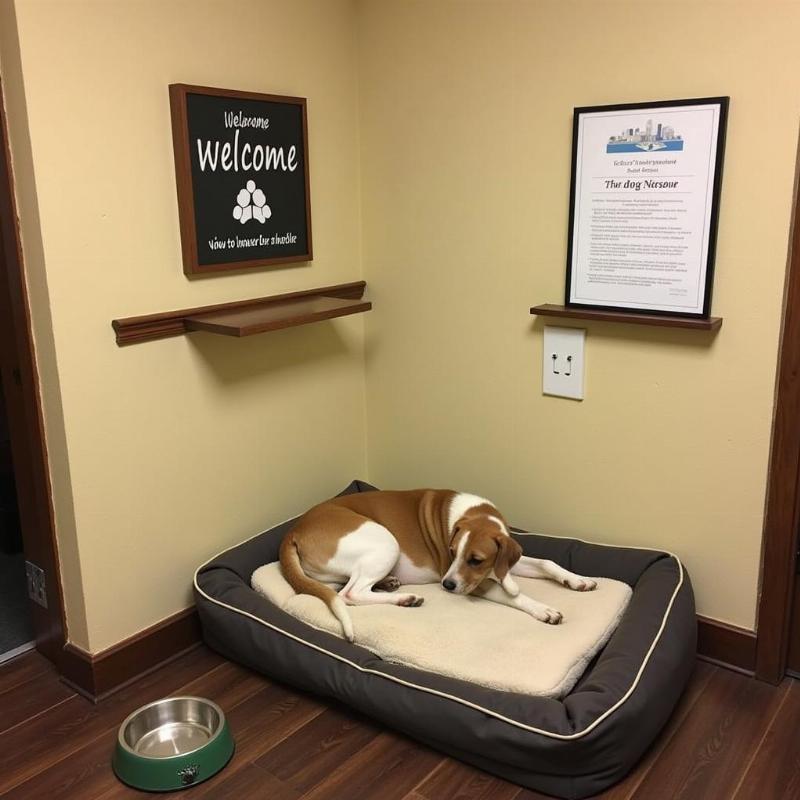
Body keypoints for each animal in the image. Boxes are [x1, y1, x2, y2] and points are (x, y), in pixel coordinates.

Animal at [278, 488, 596, 644]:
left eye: (476, 560)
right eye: (451, 552)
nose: (447, 585)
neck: (474, 514)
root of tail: (294, 530)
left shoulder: (501, 565)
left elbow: (547, 562)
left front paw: (576, 579)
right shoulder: (474, 583)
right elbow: (513, 596)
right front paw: (543, 609)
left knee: (340, 587)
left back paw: (390, 585)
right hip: (386, 541)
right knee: (350, 594)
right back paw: (404, 598)